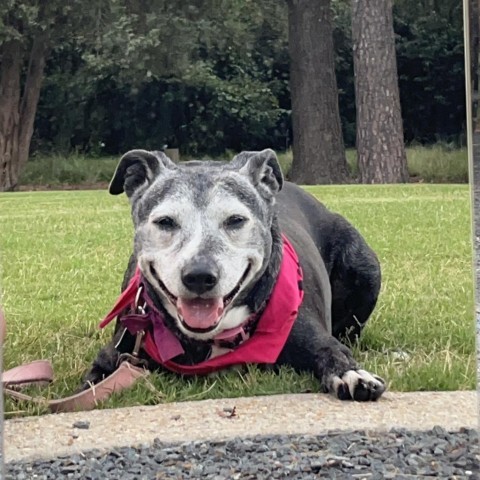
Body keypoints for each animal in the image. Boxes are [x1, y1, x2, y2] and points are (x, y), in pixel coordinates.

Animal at [83, 149, 386, 402]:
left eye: (236, 220)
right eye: (165, 222)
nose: (199, 275)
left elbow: (333, 352)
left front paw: (353, 374)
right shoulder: (115, 356)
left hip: (364, 265)